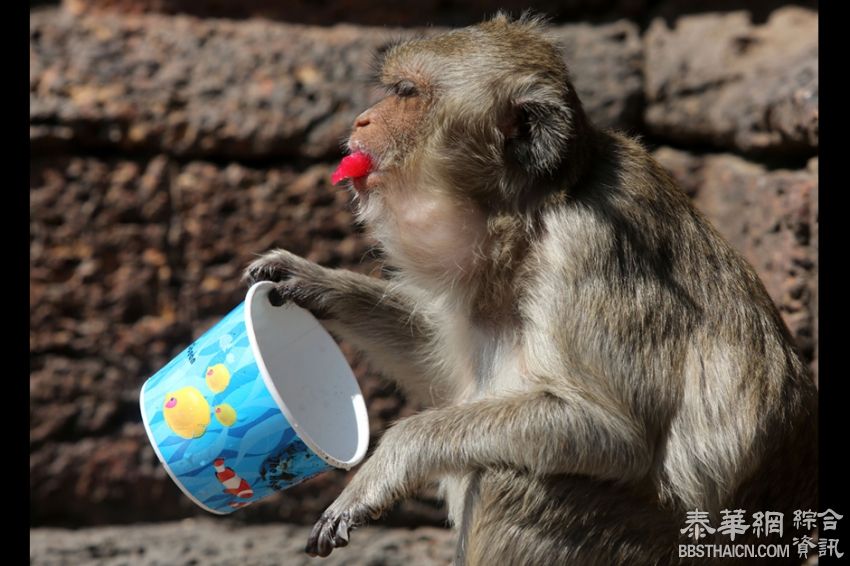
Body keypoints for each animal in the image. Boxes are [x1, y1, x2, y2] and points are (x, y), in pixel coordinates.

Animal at [243, 13, 816, 566]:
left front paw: (387, 462)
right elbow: (441, 366)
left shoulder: (587, 248)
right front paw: (306, 281)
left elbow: (615, 431)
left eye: (405, 92)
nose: (362, 119)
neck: (530, 215)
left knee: (514, 480)